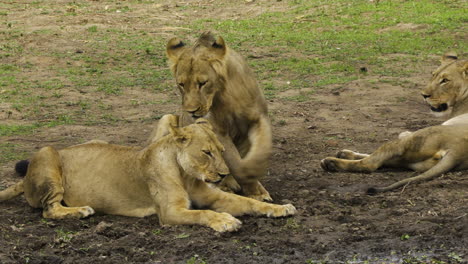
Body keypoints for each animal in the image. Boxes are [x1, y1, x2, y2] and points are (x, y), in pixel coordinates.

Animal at [0, 114, 296, 232]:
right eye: (206, 152)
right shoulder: (170, 213)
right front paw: (224, 221)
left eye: (221, 150)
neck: (186, 175)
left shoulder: (216, 196)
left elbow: (249, 203)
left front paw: (280, 208)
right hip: (47, 152)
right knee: (49, 210)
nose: (224, 175)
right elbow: (202, 213)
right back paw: (81, 210)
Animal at [159, 31, 272, 200]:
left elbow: (262, 147)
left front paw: (256, 181)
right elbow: (234, 161)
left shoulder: (258, 118)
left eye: (203, 83)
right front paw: (251, 185)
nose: (191, 111)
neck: (224, 95)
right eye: (181, 84)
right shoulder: (217, 130)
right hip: (167, 119)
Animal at [322, 54, 468, 194]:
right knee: (385, 161)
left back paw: (331, 163)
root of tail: (458, 151)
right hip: (415, 162)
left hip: (417, 138)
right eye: (433, 75)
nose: (423, 95)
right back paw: (343, 155)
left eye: (445, 80)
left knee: (371, 163)